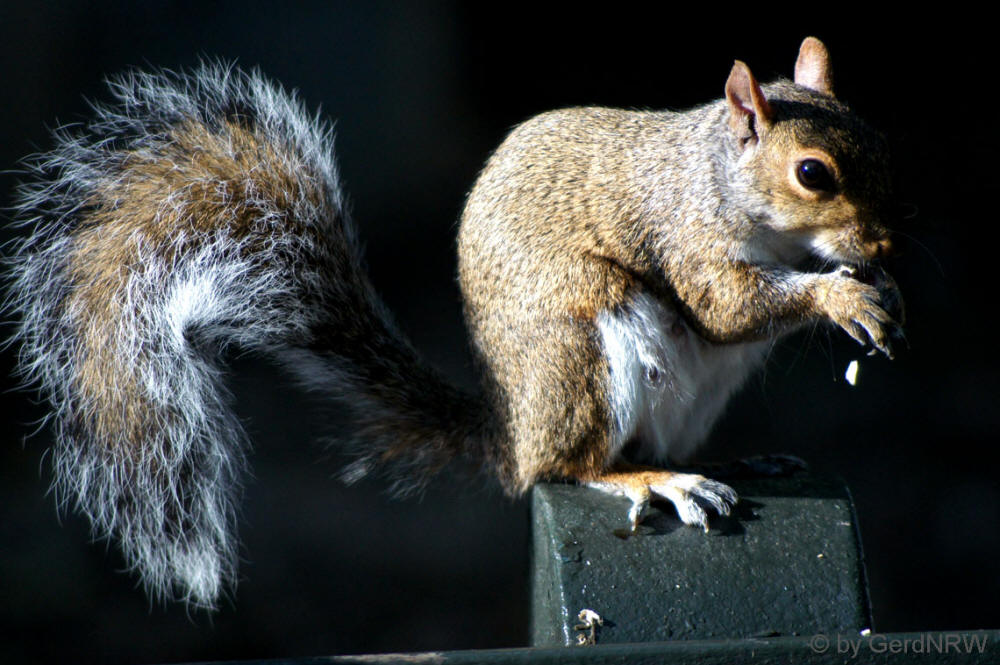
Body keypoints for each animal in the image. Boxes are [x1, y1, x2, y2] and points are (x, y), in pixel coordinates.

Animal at [7, 37, 903, 608]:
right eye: (812, 173)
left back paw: (735, 462)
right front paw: (839, 296)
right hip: (587, 350)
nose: (886, 242)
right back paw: (652, 480)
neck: (723, 181)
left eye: (879, 141)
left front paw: (875, 287)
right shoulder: (682, 232)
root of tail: (510, 430)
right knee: (570, 465)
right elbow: (725, 305)